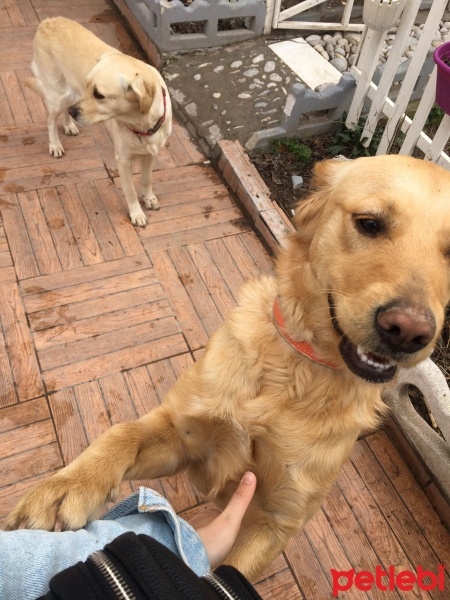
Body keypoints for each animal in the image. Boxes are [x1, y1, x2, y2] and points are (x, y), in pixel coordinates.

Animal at [7, 156, 450, 580]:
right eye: (369, 223)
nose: (409, 331)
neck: (295, 374)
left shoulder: (275, 520)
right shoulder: (183, 437)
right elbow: (123, 432)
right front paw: (67, 486)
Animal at [26, 18, 171, 227]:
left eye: (99, 95)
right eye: (88, 86)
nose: (74, 112)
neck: (142, 124)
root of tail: (47, 21)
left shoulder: (151, 154)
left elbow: (146, 179)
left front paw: (148, 197)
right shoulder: (123, 161)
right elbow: (130, 191)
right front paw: (136, 213)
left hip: (70, 93)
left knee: (62, 112)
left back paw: (69, 124)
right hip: (57, 95)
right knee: (51, 119)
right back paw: (55, 144)